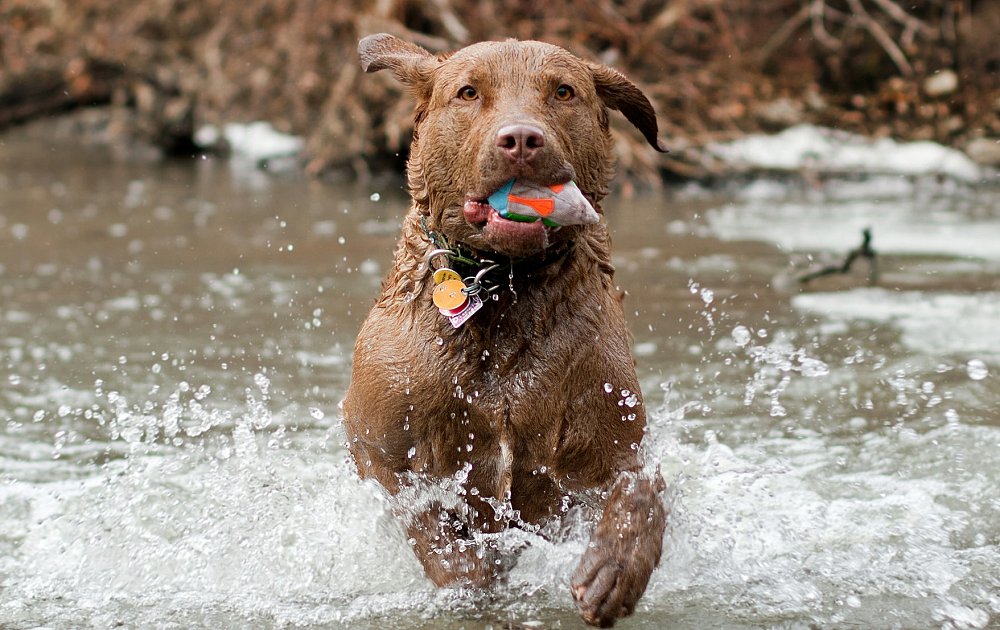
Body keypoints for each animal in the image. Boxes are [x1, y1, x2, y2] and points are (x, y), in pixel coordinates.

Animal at [348, 35, 668, 630]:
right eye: (468, 92)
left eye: (563, 92)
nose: (521, 139)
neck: (501, 285)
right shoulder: (380, 449)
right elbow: (425, 515)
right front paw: (469, 578)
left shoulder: (609, 433)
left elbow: (639, 490)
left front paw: (614, 569)